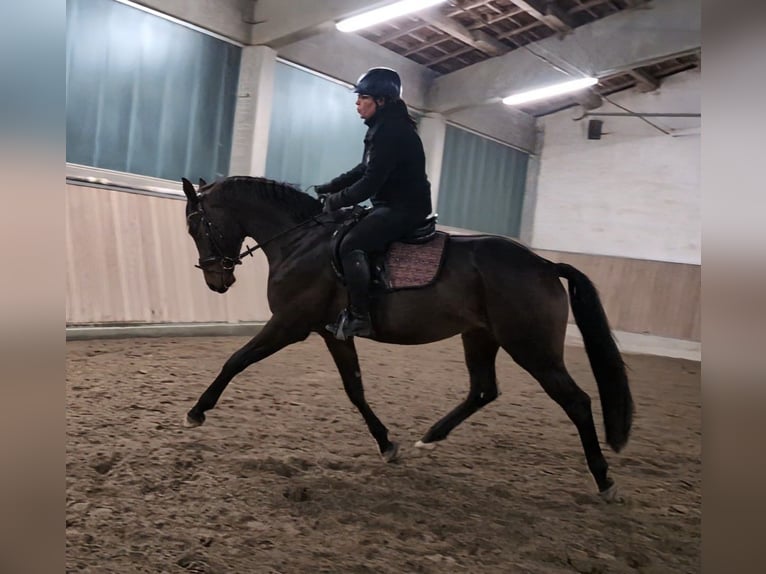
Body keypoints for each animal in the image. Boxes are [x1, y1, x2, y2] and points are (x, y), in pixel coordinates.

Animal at [182, 177, 636, 504]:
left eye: (197, 226)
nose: (216, 281)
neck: (301, 242)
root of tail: (544, 264)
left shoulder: (288, 325)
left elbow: (236, 360)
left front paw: (197, 411)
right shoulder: (332, 333)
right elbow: (355, 388)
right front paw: (387, 444)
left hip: (532, 348)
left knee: (576, 401)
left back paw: (604, 479)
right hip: (481, 336)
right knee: (483, 390)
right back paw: (430, 437)